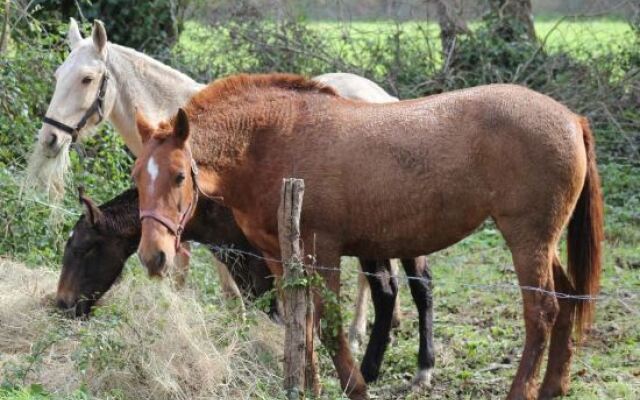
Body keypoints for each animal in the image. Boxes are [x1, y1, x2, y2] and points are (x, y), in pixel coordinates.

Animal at [132, 73, 604, 398]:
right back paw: (554, 386)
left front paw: (355, 384)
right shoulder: (281, 256)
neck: (271, 140)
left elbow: (328, 326)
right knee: (566, 299)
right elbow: (302, 325)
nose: (153, 256)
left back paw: (522, 389)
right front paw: (306, 386)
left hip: (526, 240)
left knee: (541, 312)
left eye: (179, 176)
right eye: (138, 177)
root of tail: (571, 117)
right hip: (543, 242)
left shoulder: (323, 252)